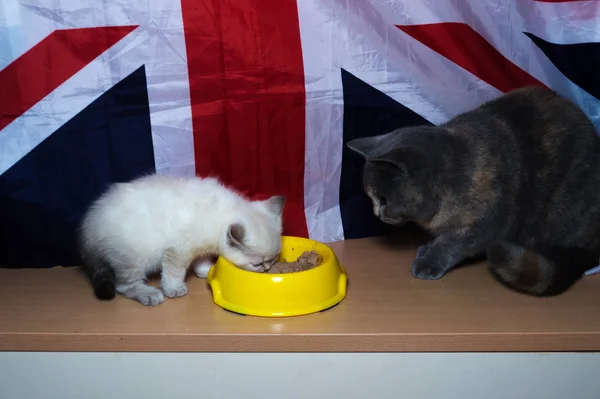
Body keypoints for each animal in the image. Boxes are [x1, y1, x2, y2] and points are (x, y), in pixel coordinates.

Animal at [78, 173, 284, 308]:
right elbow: (174, 272)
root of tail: (88, 226)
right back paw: (149, 294)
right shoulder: (178, 250)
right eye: (257, 264)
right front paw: (174, 289)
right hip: (133, 256)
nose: (267, 269)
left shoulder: (200, 247)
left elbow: (201, 259)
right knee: (125, 285)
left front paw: (206, 270)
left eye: (274, 259)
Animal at [346, 86, 600, 296]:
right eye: (372, 198)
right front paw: (426, 249)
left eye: (383, 199)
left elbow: (450, 243)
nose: (377, 214)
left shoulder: (485, 225)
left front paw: (428, 262)